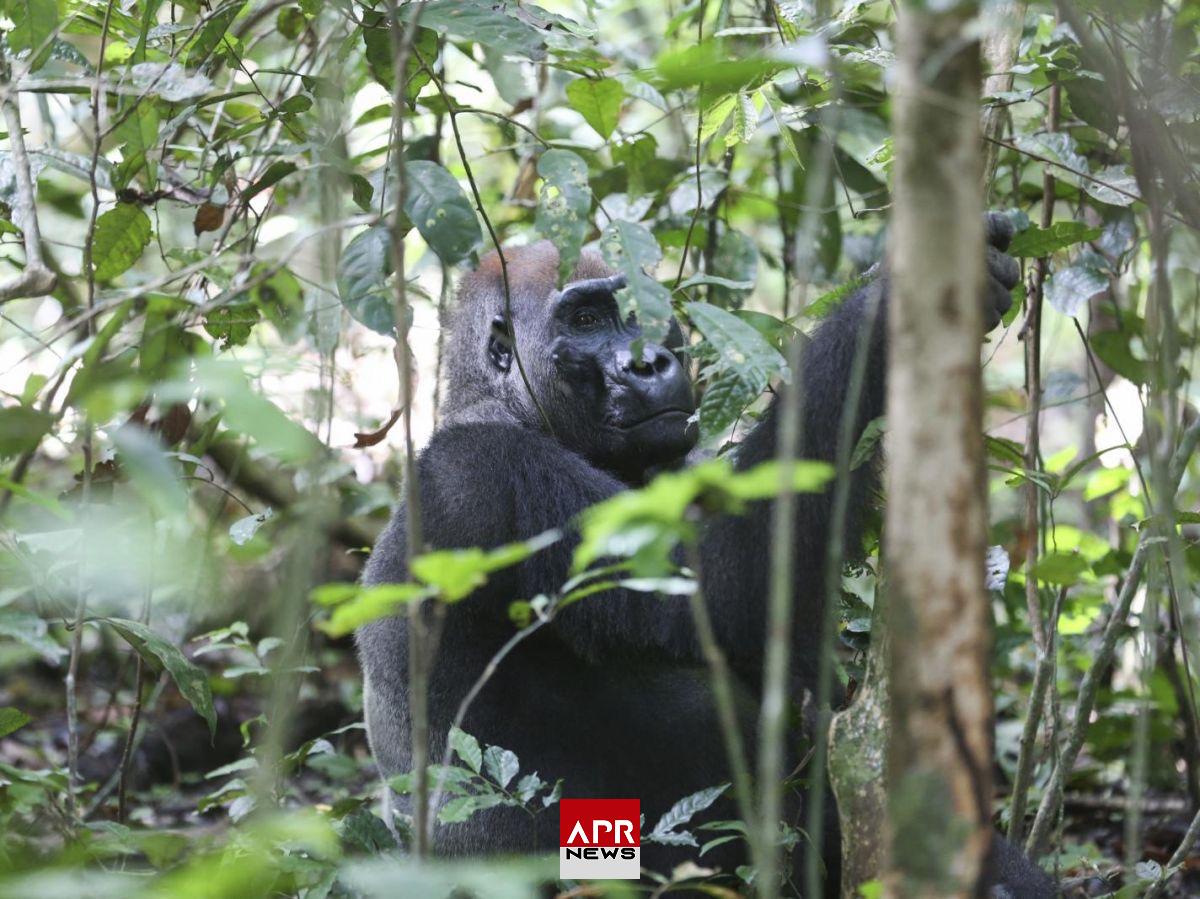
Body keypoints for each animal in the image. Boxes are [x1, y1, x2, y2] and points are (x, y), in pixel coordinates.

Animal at [355, 213, 1051, 892]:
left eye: (642, 309)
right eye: (586, 322)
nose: (649, 363)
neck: (500, 404)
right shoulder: (484, 473)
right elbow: (721, 592)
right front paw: (884, 308)